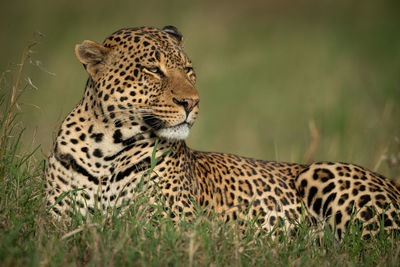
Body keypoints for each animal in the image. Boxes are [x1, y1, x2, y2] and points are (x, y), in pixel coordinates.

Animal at [45, 25, 400, 241]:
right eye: (153, 70)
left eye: (189, 70)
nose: (192, 102)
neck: (107, 147)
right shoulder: (57, 223)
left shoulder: (173, 227)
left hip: (324, 172)